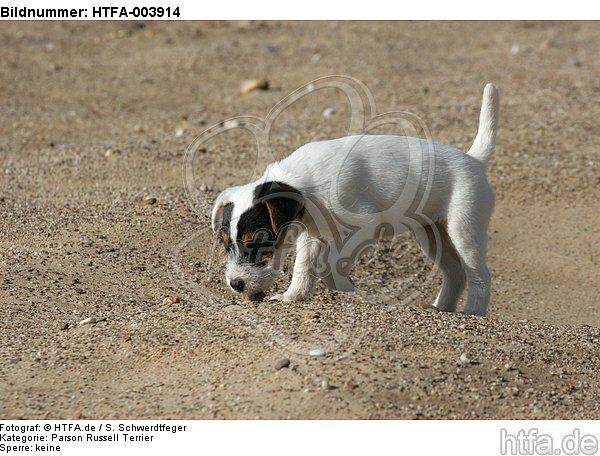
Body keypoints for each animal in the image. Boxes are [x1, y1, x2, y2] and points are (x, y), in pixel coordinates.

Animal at [209, 83, 500, 316]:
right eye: (225, 244)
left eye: (258, 241)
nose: (236, 284)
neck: (303, 186)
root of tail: (473, 160)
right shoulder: (310, 234)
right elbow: (303, 267)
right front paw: (292, 297)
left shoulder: (366, 224)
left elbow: (334, 258)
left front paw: (340, 284)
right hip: (430, 233)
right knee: (455, 273)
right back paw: (442, 309)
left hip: (464, 228)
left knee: (479, 275)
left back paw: (473, 313)